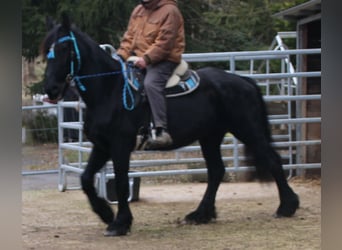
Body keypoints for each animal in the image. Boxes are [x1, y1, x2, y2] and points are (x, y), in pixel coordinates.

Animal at [40, 15, 300, 236]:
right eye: (46, 51)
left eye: (64, 49)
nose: (51, 89)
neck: (109, 91)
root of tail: (244, 81)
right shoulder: (102, 146)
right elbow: (85, 179)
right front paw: (105, 213)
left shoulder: (120, 146)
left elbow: (122, 183)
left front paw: (120, 223)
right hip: (210, 137)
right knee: (216, 171)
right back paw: (200, 214)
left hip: (247, 129)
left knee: (272, 160)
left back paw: (287, 207)